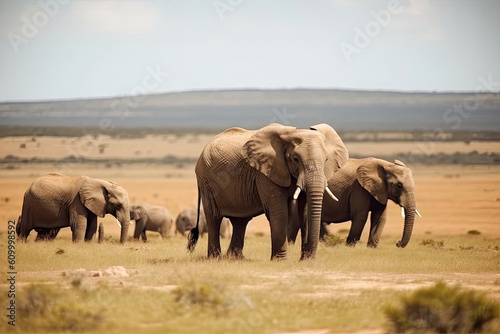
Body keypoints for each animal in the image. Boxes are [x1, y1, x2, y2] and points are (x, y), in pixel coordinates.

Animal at [188, 123, 348, 260]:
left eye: (326, 159)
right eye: (295, 159)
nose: (308, 258)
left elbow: (305, 211)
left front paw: (306, 260)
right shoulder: (266, 171)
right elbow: (279, 211)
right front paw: (280, 261)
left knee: (241, 220)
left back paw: (236, 258)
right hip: (206, 181)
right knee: (214, 217)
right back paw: (215, 258)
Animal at [288, 158, 420, 247]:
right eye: (399, 185)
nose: (398, 243)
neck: (386, 165)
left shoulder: (380, 190)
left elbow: (380, 218)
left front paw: (371, 248)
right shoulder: (359, 188)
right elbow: (360, 216)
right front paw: (349, 247)